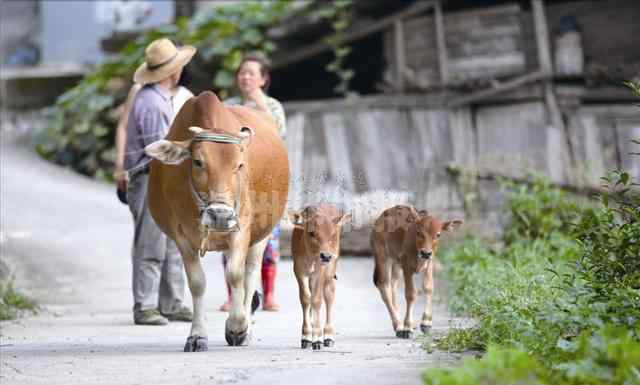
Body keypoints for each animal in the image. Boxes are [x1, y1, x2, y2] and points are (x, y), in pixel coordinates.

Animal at [145, 91, 290, 350]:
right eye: (198, 162)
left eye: (239, 165)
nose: (220, 215)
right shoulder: (181, 236)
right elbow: (197, 282)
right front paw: (197, 335)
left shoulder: (242, 228)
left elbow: (235, 274)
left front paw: (237, 327)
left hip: (263, 234)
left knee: (250, 273)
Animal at [290, 206, 350, 350]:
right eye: (311, 233)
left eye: (332, 235)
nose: (326, 256)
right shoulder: (298, 270)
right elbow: (305, 299)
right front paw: (306, 337)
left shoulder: (321, 270)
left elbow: (317, 300)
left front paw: (317, 338)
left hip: (331, 269)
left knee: (329, 295)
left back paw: (328, 335)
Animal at [370, 204, 460, 336]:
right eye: (418, 232)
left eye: (438, 234)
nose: (425, 253)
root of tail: (379, 219)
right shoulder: (406, 266)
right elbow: (411, 294)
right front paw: (408, 327)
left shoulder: (429, 263)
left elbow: (428, 287)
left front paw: (426, 322)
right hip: (383, 257)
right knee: (384, 285)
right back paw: (399, 325)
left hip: (396, 264)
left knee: (393, 286)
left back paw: (398, 324)